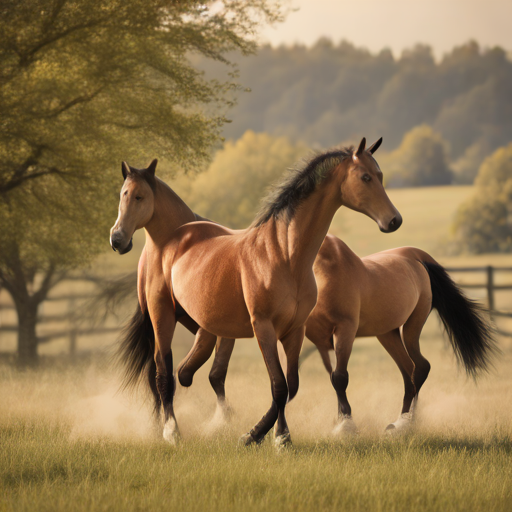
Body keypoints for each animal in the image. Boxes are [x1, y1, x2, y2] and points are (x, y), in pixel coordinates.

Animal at [110, 138, 402, 446]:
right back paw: (171, 432)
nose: (394, 220)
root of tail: (167, 239)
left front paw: (278, 435)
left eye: (379, 175)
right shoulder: (263, 326)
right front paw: (257, 434)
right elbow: (278, 386)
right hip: (161, 315)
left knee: (186, 371)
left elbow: (290, 385)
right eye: (365, 177)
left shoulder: (295, 329)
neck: (283, 253)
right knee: (163, 371)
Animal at [206, 242, 498, 434]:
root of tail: (416, 257)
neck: (322, 277)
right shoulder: (316, 340)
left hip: (412, 326)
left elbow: (337, 377)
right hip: (387, 333)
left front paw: (345, 424)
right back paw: (399, 421)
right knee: (408, 370)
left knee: (420, 367)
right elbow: (312, 379)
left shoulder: (343, 332)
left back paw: (407, 423)